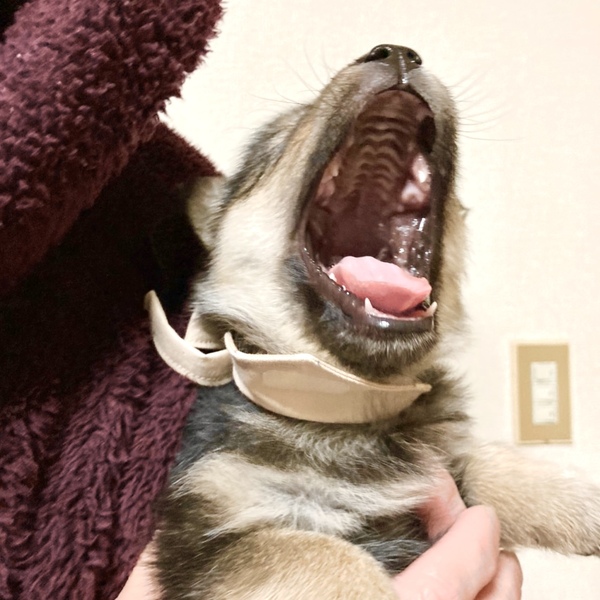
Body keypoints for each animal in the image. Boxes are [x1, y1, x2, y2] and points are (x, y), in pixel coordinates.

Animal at [150, 45, 600, 599]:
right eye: (282, 138)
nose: (398, 52)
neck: (352, 404)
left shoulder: (444, 467)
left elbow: (492, 463)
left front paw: (582, 501)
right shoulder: (213, 538)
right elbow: (323, 555)